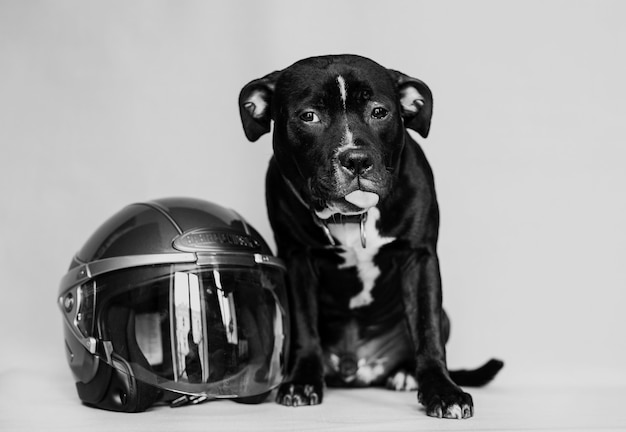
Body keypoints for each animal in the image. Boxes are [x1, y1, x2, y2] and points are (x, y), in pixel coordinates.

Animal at [239, 54, 502, 418]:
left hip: (443, 314)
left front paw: (443, 391)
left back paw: (405, 373)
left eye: (379, 111)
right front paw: (302, 381)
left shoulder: (419, 258)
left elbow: (427, 329)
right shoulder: (297, 259)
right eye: (309, 116)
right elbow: (304, 326)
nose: (356, 159)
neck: (354, 216)